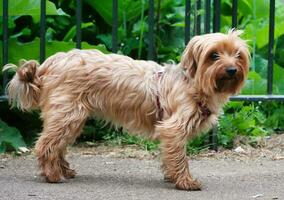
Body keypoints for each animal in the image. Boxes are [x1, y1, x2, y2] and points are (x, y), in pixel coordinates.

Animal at [4, 29, 248, 191]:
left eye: (238, 55)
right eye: (213, 55)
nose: (232, 69)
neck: (193, 83)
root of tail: (50, 63)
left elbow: (171, 156)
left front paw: (172, 177)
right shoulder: (173, 129)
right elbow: (179, 157)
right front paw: (185, 182)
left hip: (71, 118)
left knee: (58, 145)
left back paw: (64, 170)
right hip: (68, 115)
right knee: (45, 145)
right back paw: (53, 175)